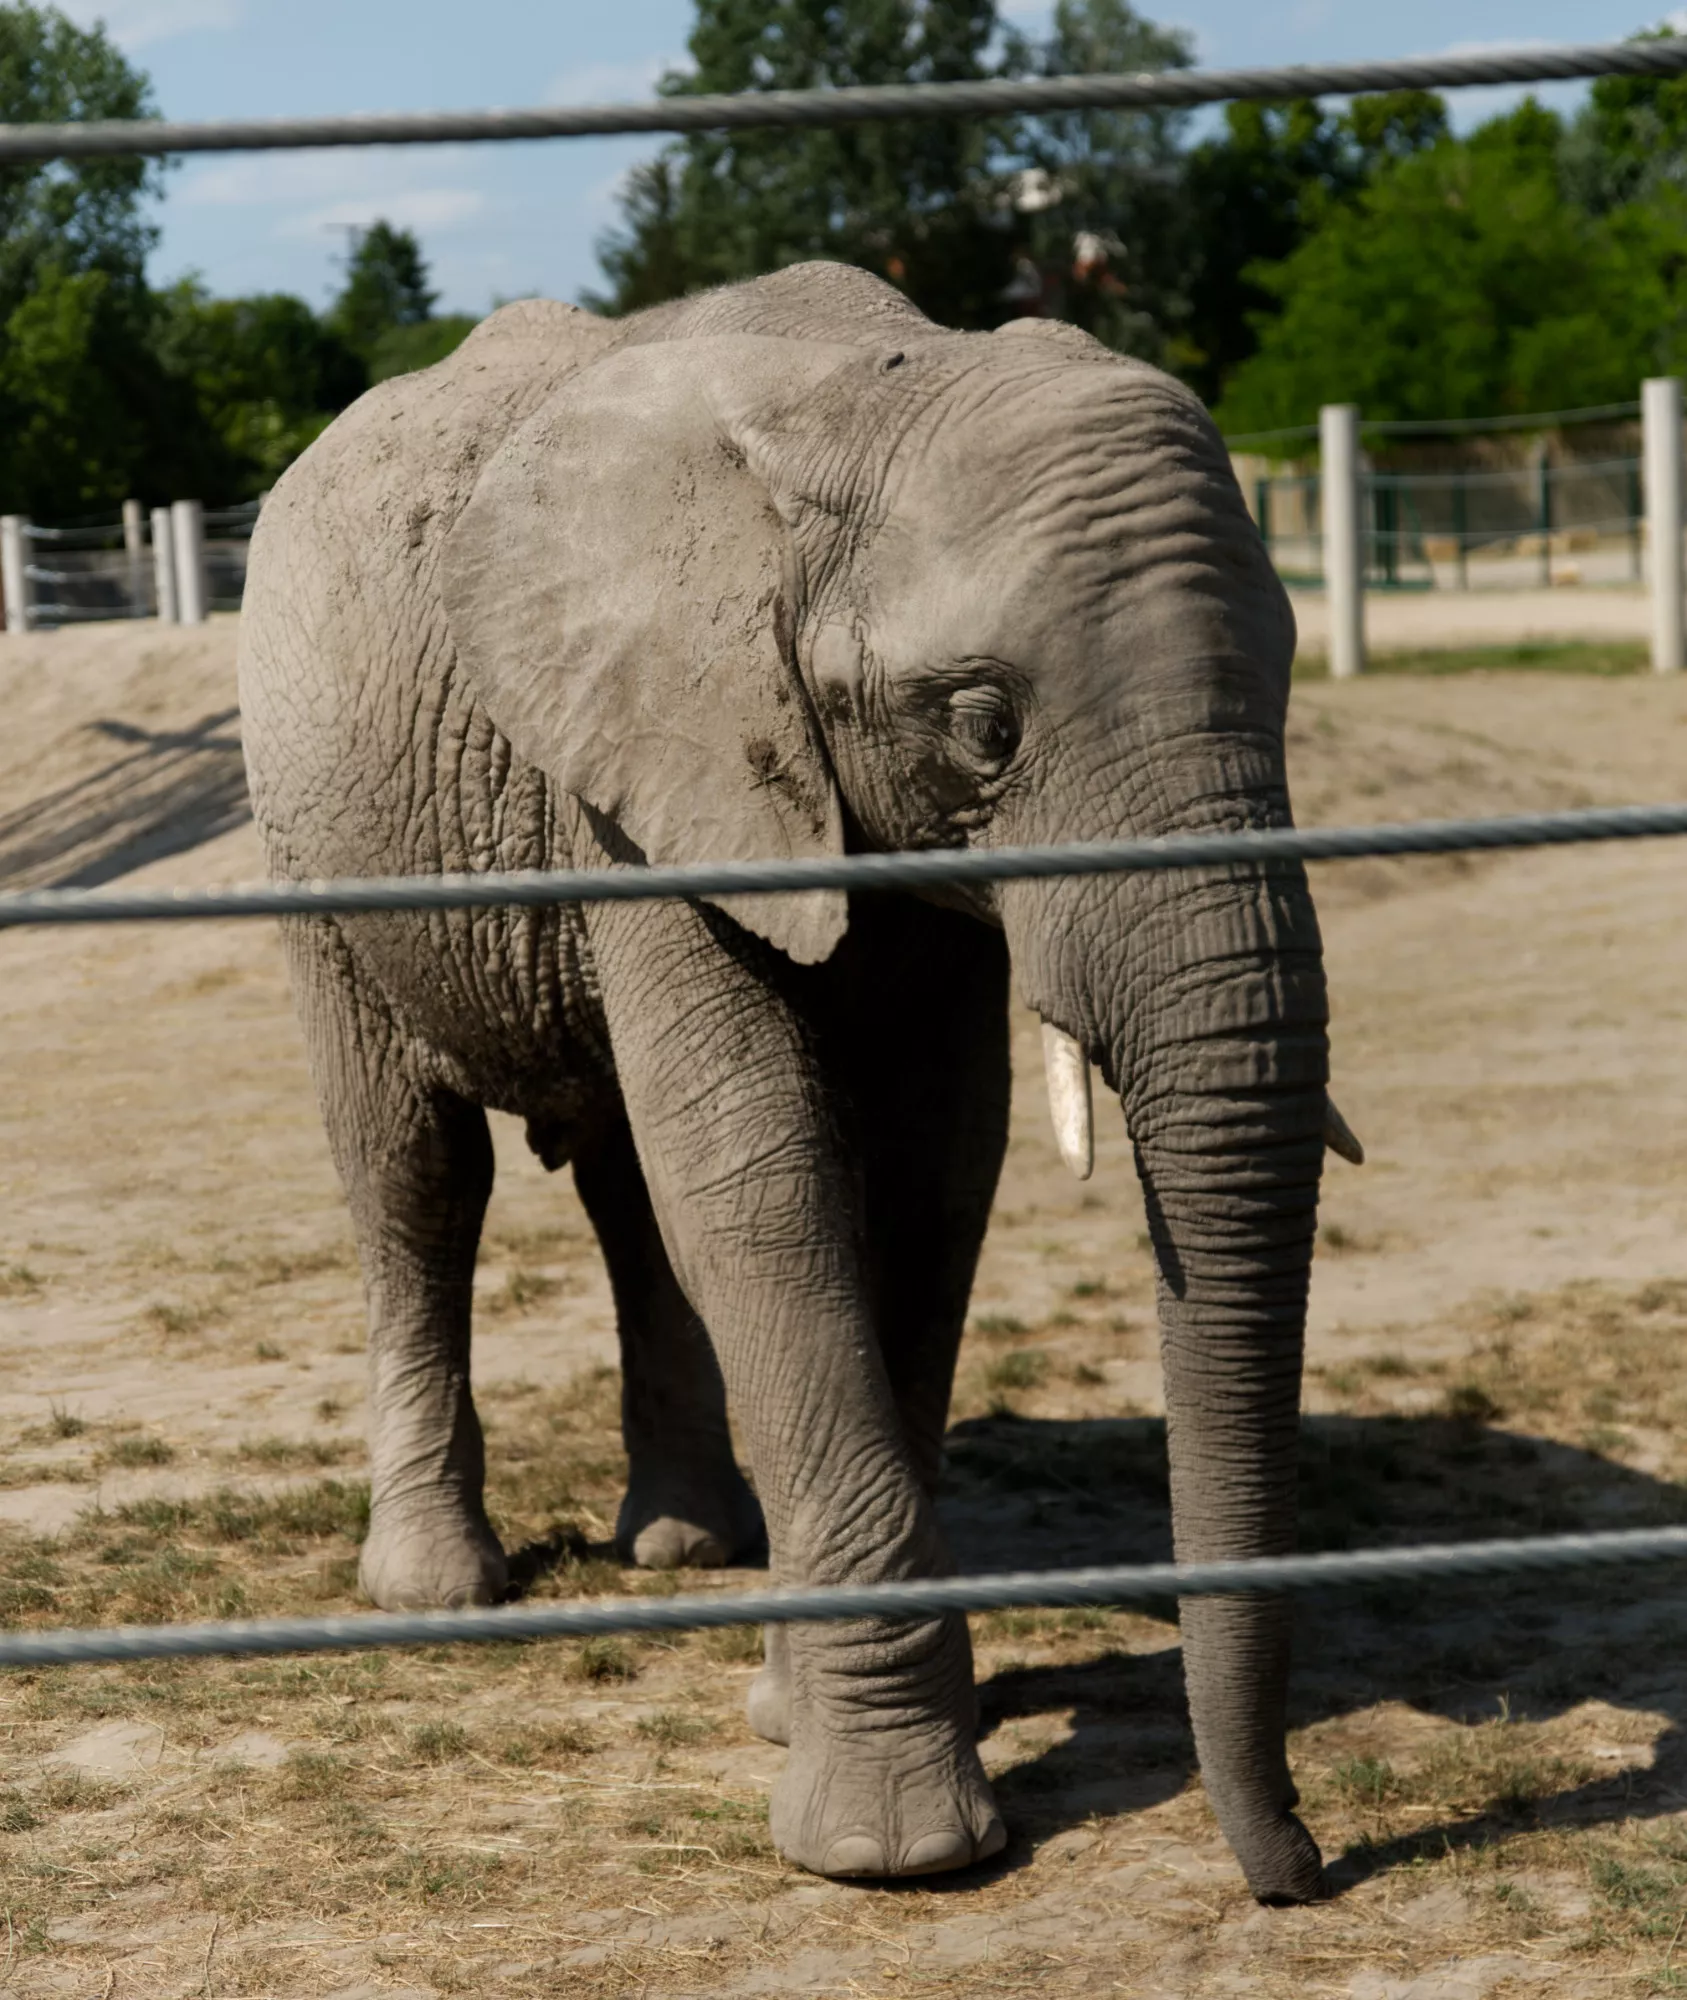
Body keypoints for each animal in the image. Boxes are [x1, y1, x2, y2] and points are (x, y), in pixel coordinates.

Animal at [240, 258, 1343, 1896]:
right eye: (984, 725)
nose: (1297, 1865)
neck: (870, 394)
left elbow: (931, 1182)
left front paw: (784, 1713)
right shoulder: (653, 770)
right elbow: (769, 1187)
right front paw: (895, 1852)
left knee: (630, 1197)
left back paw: (688, 1547)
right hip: (312, 836)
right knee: (415, 1173)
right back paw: (440, 1589)